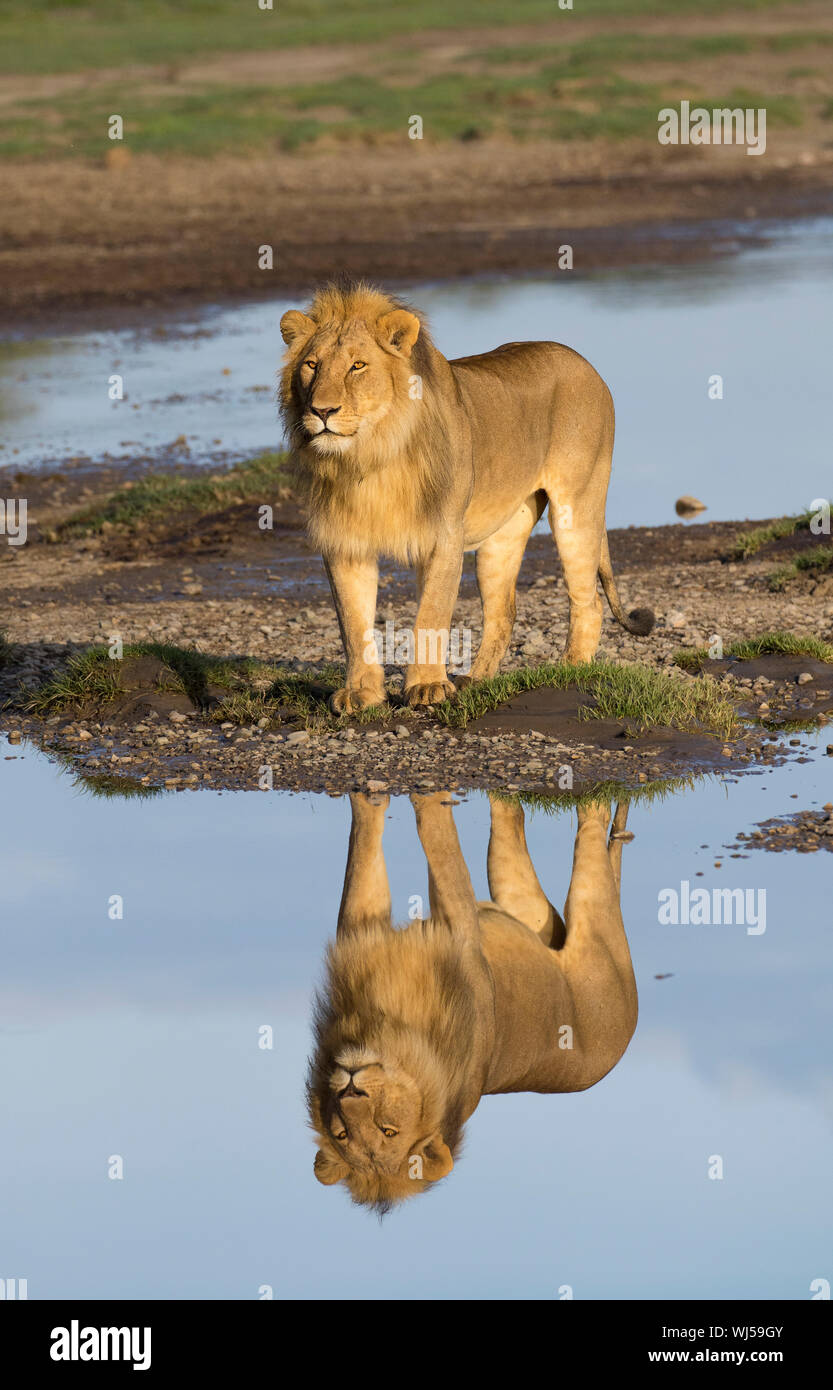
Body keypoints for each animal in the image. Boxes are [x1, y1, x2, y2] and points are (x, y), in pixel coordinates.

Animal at [280, 276, 650, 711]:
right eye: (312, 365)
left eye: (358, 366)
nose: (322, 411)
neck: (370, 455)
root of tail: (583, 362)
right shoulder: (345, 542)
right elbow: (353, 624)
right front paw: (361, 693)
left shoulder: (444, 535)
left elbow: (432, 613)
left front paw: (426, 687)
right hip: (503, 534)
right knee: (503, 612)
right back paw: (476, 681)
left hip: (577, 506)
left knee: (588, 601)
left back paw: (570, 670)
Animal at [310, 789, 642, 1212]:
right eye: (342, 1134)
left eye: (388, 1131)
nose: (352, 1089)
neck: (386, 1025)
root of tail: (624, 1036)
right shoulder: (367, 927)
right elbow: (378, 850)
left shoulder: (462, 933)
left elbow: (429, 839)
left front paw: (417, 795)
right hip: (520, 892)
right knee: (513, 822)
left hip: (594, 917)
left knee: (588, 833)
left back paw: (590, 805)